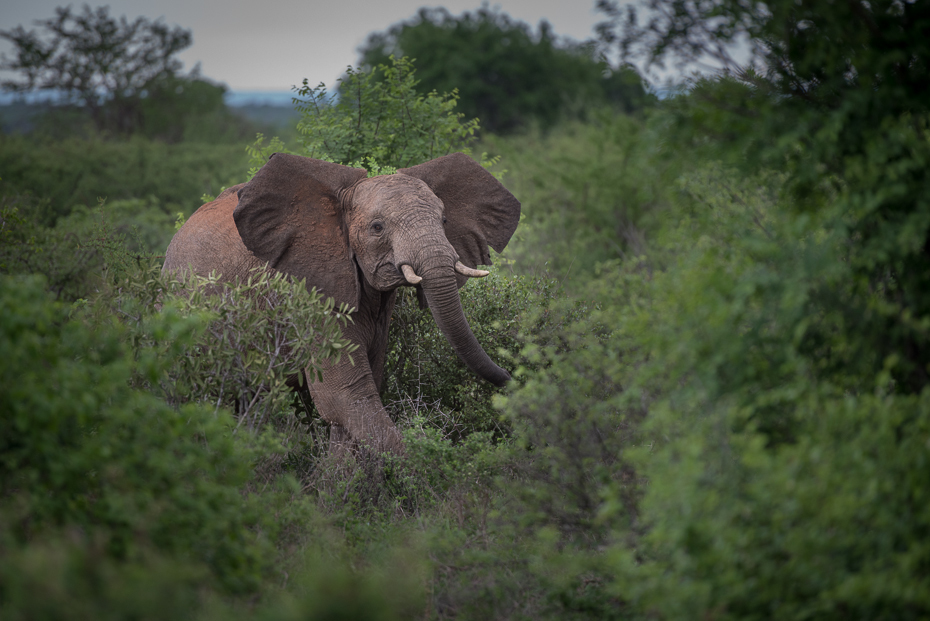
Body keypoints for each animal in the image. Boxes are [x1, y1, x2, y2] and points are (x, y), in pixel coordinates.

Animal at [162, 150, 520, 450]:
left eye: (444, 221)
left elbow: (362, 391)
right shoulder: (312, 295)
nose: (513, 377)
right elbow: (346, 397)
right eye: (377, 227)